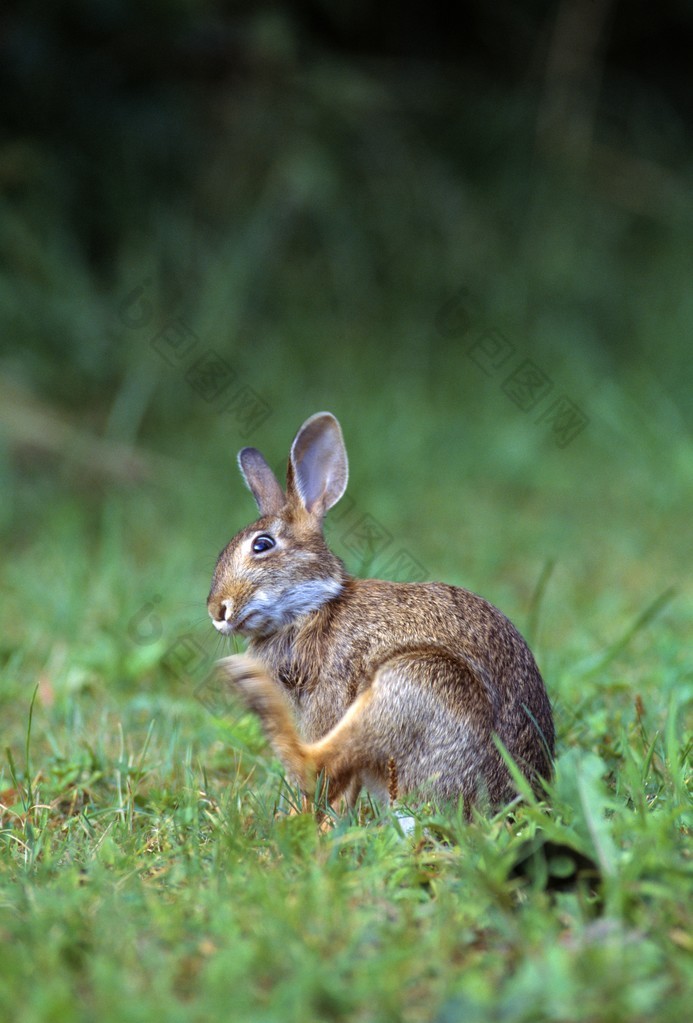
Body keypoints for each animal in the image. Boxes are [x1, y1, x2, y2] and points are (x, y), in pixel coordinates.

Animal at [205, 411, 552, 810]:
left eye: (262, 545)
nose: (216, 610)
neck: (311, 607)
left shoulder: (331, 695)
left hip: (417, 682)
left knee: (314, 766)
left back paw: (250, 686)